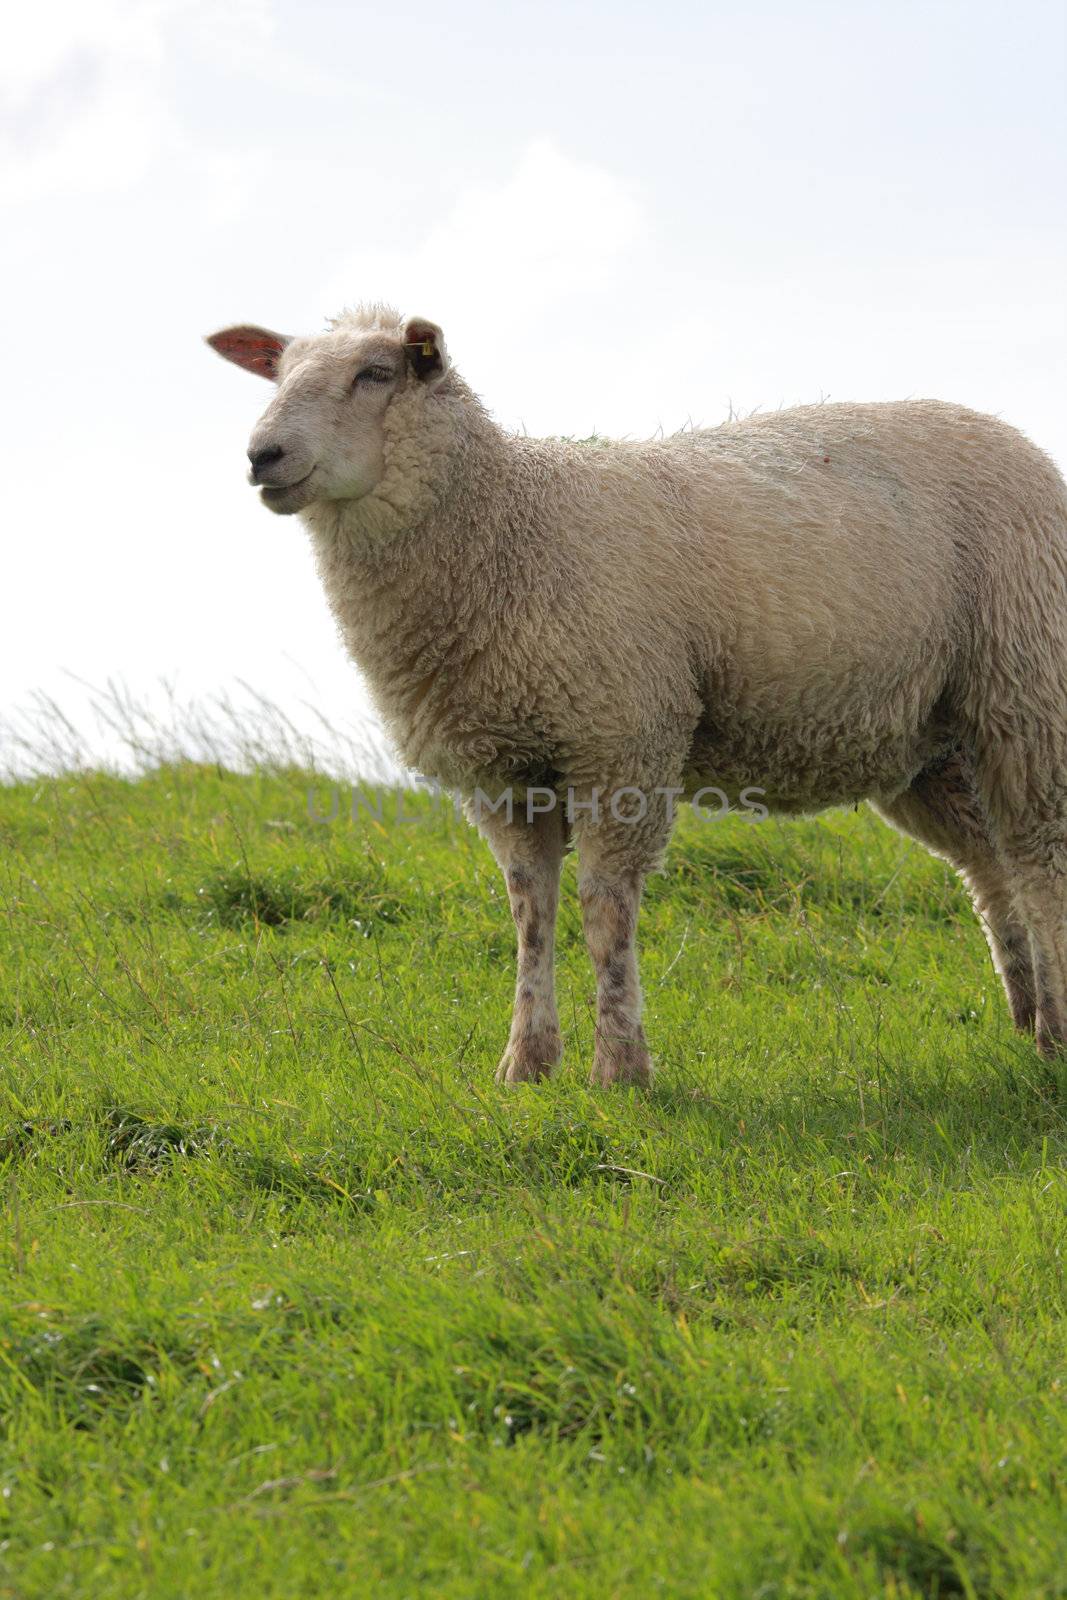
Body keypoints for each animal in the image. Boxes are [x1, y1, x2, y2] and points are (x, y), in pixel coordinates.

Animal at [207, 300, 1067, 1088]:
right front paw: (526, 1063)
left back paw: (1054, 1028)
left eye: (376, 373)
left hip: (1025, 688)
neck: (508, 524)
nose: (261, 455)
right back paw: (1028, 1016)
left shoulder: (621, 740)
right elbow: (530, 914)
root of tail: (1013, 437)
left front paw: (619, 1067)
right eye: (278, 375)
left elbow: (604, 910)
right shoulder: (502, 770)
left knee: (1038, 857)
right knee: (989, 869)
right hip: (929, 741)